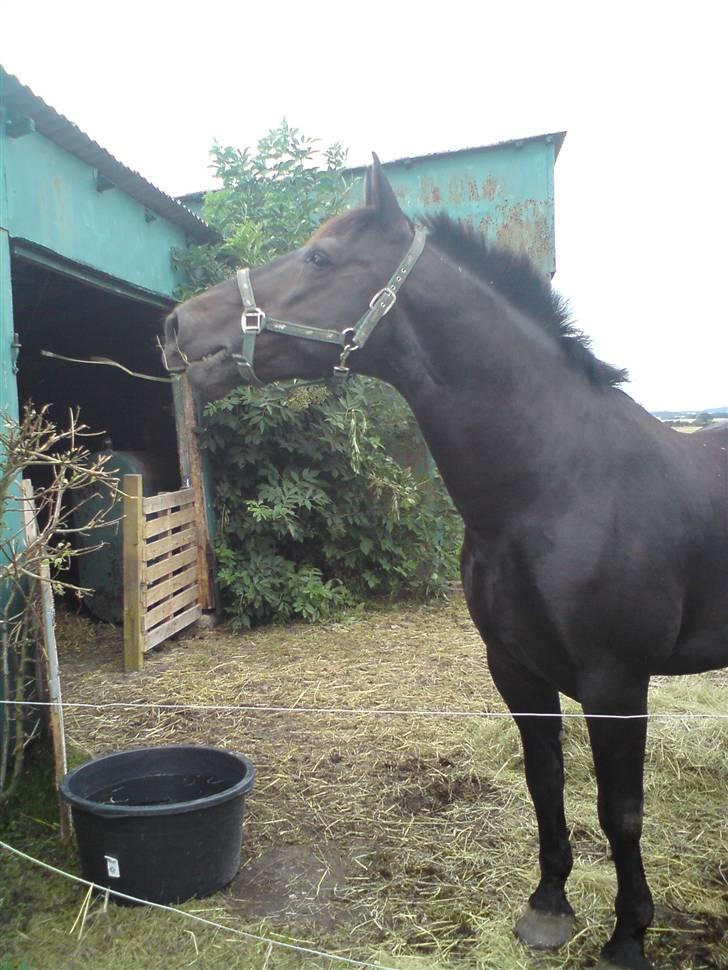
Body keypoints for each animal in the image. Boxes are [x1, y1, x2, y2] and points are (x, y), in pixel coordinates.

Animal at [162, 159, 724, 968]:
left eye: (320, 258)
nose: (178, 326)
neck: (561, 482)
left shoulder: (617, 681)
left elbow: (621, 811)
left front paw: (626, 938)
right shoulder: (515, 668)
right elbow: (545, 783)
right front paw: (549, 907)